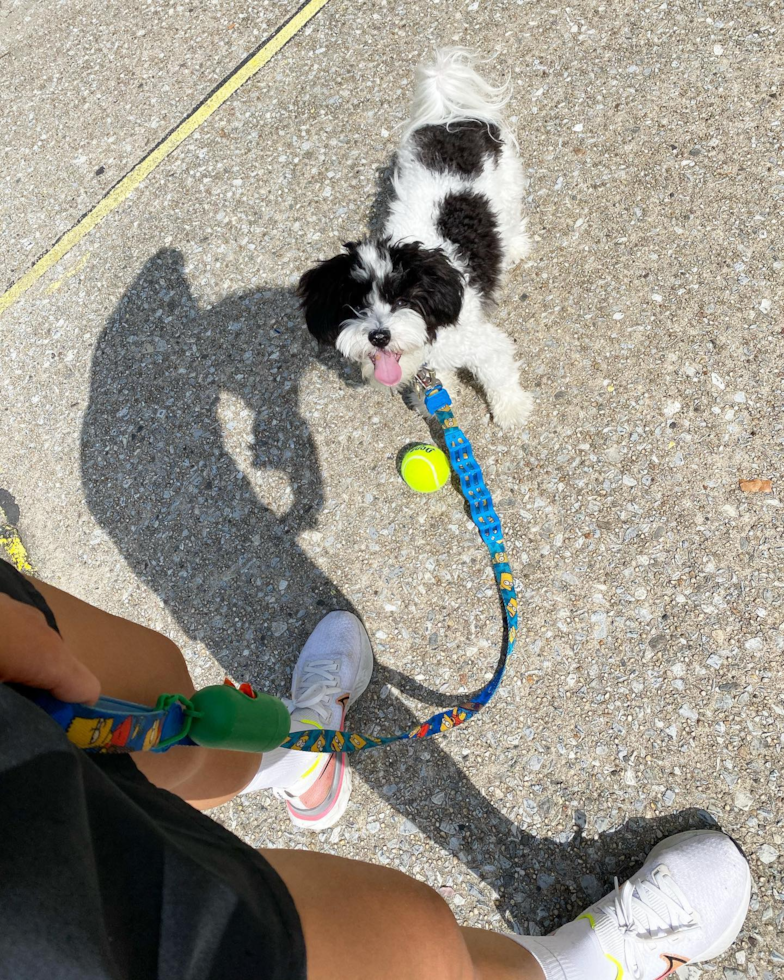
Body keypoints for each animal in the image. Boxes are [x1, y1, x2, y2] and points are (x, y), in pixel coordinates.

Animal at [298, 47, 532, 426]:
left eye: (402, 300)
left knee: (509, 222)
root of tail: (451, 120)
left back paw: (514, 247)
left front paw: (512, 409)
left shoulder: (482, 342)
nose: (379, 336)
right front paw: (436, 400)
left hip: (508, 185)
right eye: (356, 305)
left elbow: (499, 373)